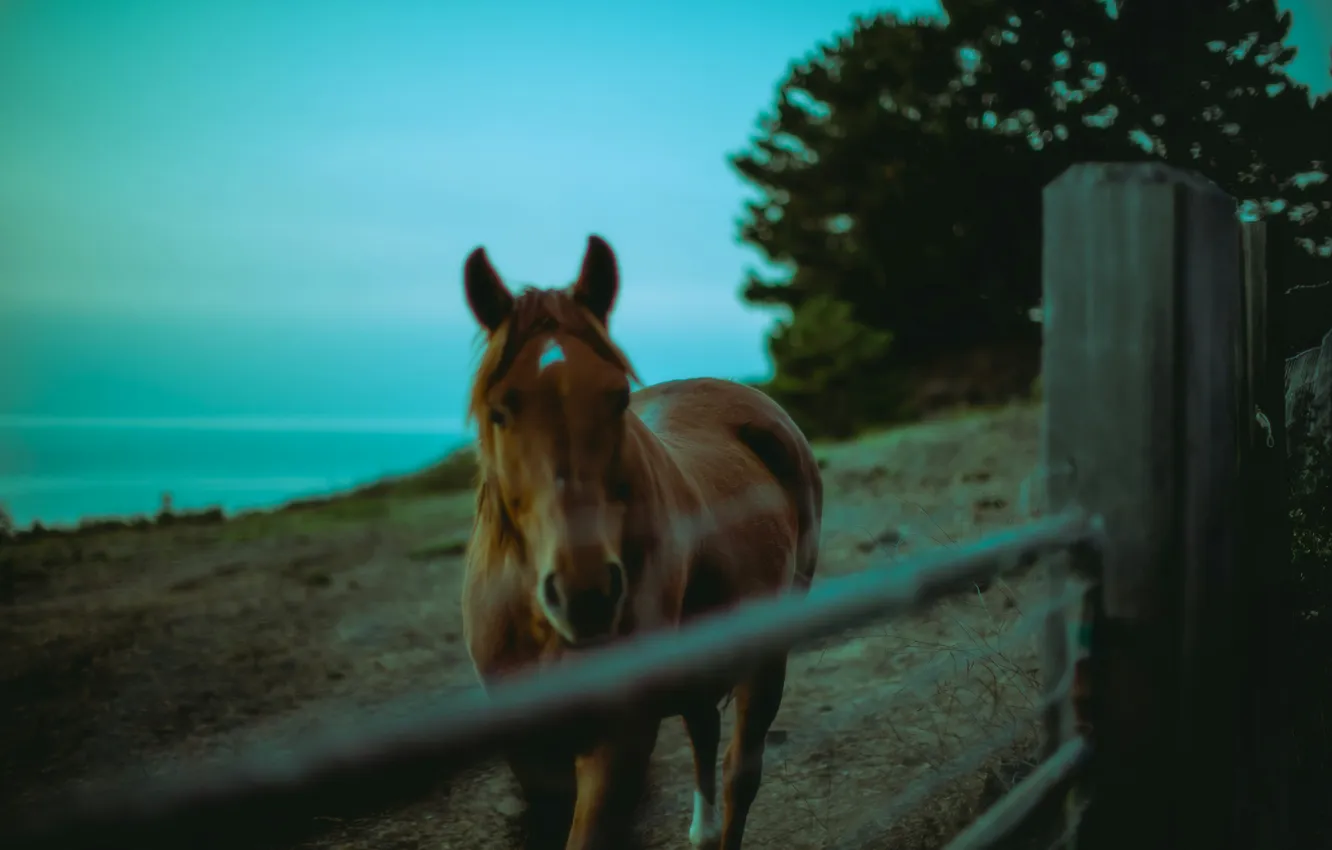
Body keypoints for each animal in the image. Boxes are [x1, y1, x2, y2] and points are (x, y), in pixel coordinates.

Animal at [459, 235, 823, 850]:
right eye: (500, 409)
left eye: (617, 398)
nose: (585, 594)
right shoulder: (531, 756)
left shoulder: (619, 742)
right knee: (704, 732)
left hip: (767, 654)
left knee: (739, 774)